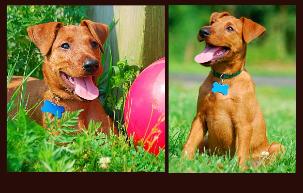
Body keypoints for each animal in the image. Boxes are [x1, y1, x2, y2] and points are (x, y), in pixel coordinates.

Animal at [183, 11, 284, 167]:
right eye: (212, 23)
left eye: (230, 28)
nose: (203, 31)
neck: (223, 78)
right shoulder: (199, 118)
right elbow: (189, 143)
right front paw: (181, 162)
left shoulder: (243, 125)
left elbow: (241, 152)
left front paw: (238, 168)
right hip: (205, 143)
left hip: (277, 147)